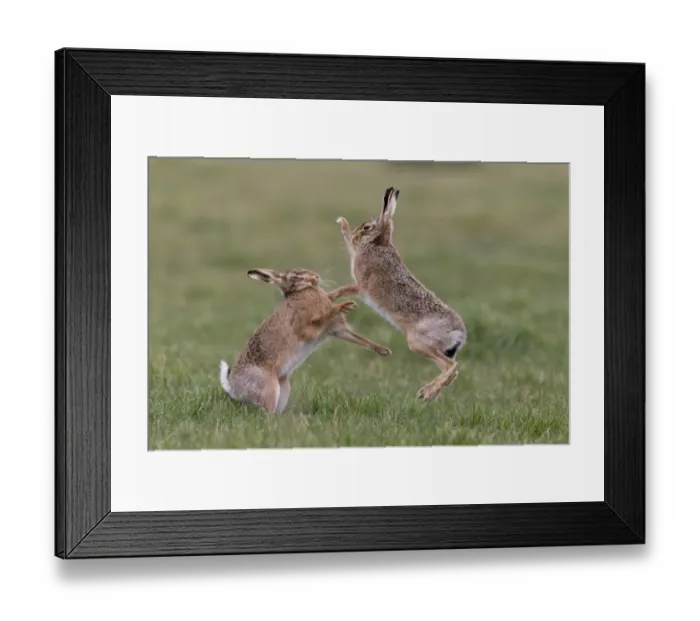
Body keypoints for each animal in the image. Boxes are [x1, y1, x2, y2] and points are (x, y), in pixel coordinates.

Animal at [219, 267, 392, 414]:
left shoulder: (336, 330)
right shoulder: (306, 327)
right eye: (295, 277)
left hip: (284, 388)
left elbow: (359, 338)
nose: (316, 277)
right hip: (269, 389)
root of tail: (232, 387)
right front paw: (343, 306)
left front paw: (384, 351)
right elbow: (321, 317)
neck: (299, 292)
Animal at [334, 187, 467, 402]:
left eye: (367, 227)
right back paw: (428, 393)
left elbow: (343, 288)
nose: (356, 235)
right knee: (450, 369)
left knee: (451, 367)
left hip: (418, 342)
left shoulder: (361, 285)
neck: (379, 243)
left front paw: (342, 223)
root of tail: (460, 335)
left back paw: (426, 393)